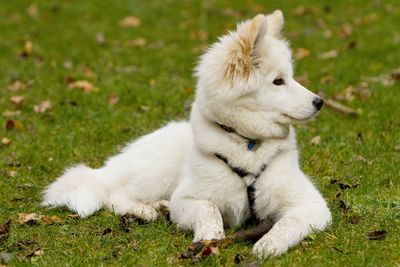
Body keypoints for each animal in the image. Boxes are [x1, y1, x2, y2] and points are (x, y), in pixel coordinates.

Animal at [43, 11, 332, 258]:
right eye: (278, 81)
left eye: (290, 77)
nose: (320, 102)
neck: (247, 143)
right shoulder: (187, 198)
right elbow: (209, 208)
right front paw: (208, 238)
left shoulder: (312, 204)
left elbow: (287, 223)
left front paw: (268, 244)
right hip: (159, 170)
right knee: (115, 194)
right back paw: (146, 210)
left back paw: (160, 206)